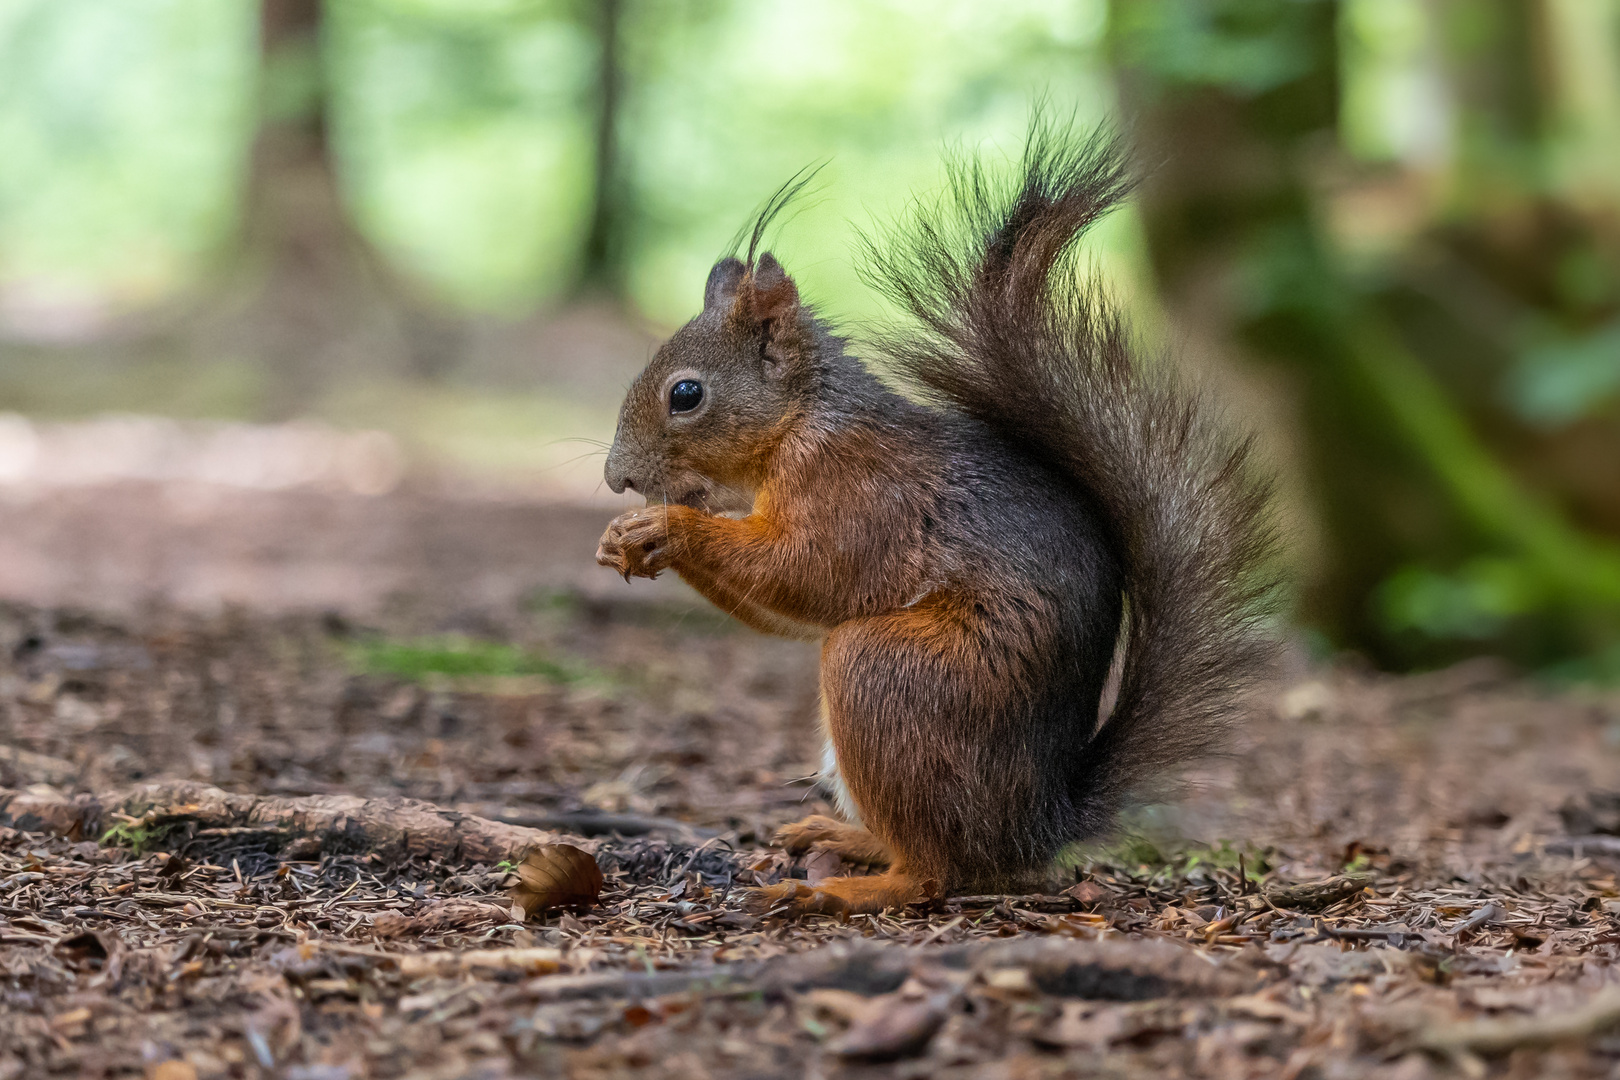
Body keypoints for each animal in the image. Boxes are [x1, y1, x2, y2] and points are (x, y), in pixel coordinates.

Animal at [596, 118, 1276, 919]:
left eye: (687, 394)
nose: (617, 478)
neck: (802, 424)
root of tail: (1033, 825)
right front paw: (624, 540)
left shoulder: (862, 496)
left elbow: (807, 575)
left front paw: (664, 529)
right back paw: (839, 837)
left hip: (892, 674)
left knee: (934, 873)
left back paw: (842, 889)